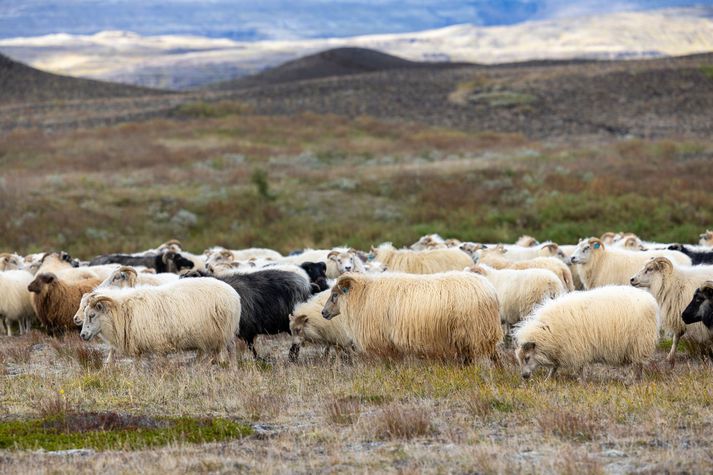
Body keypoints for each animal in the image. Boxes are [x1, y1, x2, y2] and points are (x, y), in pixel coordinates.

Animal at [320, 272, 504, 364]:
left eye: (335, 294)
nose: (323, 313)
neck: (363, 295)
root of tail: (491, 290)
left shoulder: (383, 340)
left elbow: (389, 362)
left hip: (474, 331)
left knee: (488, 356)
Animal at [512, 284, 656, 382]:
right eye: (519, 359)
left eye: (527, 357)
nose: (524, 376)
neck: (548, 331)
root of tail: (650, 299)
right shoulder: (560, 349)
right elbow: (555, 366)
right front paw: (549, 379)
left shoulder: (575, 348)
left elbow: (579, 367)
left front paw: (581, 382)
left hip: (641, 342)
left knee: (638, 365)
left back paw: (635, 381)